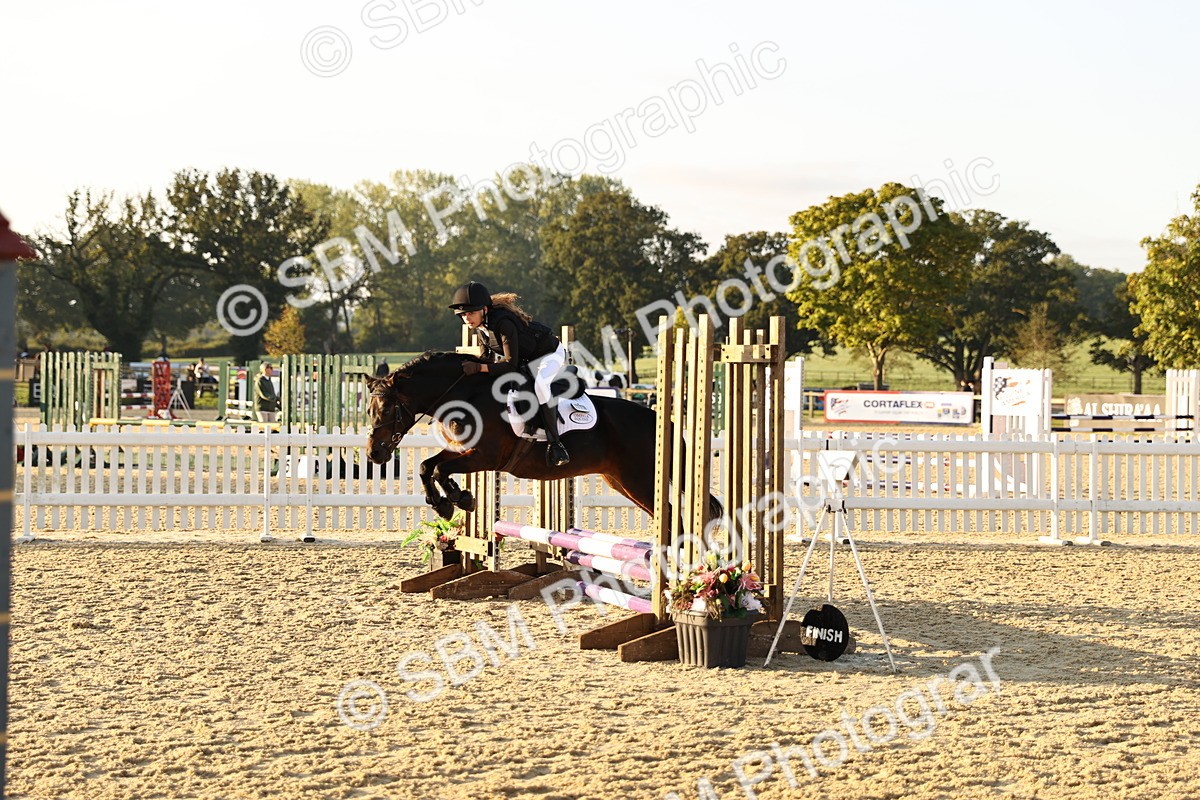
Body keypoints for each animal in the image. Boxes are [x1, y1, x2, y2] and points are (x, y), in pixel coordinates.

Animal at [365, 350, 709, 522]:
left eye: (387, 409)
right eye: (369, 410)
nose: (373, 454)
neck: (468, 393)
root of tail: (658, 420)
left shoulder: (484, 457)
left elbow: (438, 469)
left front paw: (457, 499)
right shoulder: (463, 451)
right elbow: (429, 466)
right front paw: (449, 503)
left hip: (641, 480)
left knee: (671, 517)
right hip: (620, 481)